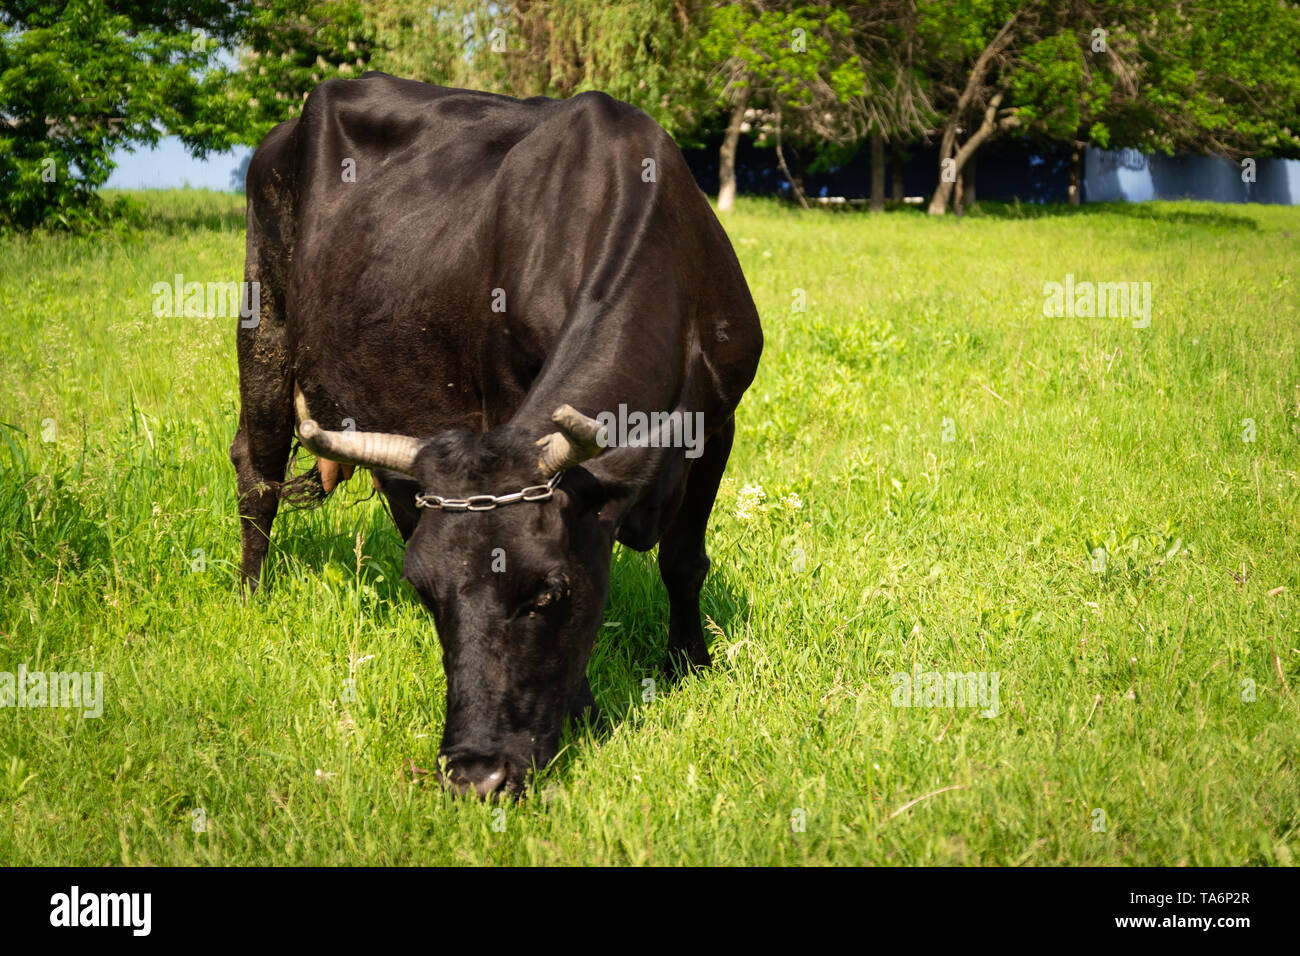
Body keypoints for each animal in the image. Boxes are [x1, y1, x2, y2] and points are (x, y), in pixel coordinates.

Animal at [230, 73, 763, 797]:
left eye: (550, 593)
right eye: (427, 597)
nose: (475, 775)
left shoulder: (719, 421)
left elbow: (684, 561)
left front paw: (691, 662)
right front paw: (587, 712)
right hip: (263, 317)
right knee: (256, 470)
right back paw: (250, 596)